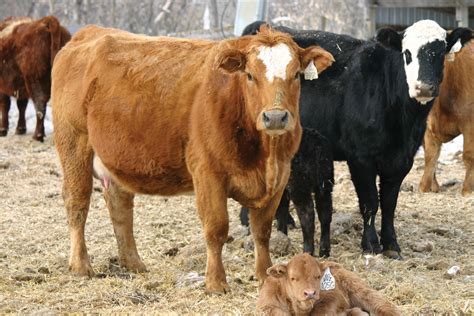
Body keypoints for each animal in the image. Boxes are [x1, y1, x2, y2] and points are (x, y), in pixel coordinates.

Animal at [241, 128, 334, 256]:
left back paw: (307, 251)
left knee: (308, 215)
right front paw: (281, 235)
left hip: (299, 184)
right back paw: (324, 251)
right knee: (325, 213)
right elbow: (282, 211)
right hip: (325, 182)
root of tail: (317, 147)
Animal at [258, 254, 402, 316]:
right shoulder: (267, 306)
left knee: (385, 308)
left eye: (318, 276)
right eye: (293, 278)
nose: (310, 293)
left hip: (363, 291)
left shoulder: (333, 296)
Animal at [420, 39, 472, 195]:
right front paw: (426, 187)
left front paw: (467, 190)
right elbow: (430, 155)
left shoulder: (469, 123)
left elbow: (468, 155)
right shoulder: (427, 125)